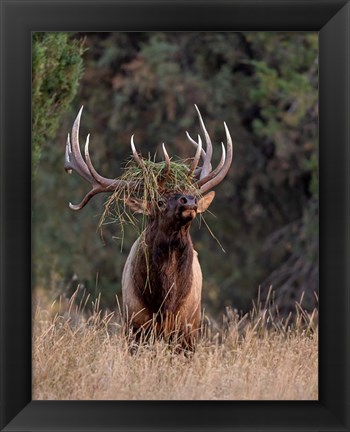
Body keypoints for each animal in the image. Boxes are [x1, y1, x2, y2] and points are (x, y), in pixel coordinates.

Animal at [64, 104, 234, 348]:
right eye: (159, 202)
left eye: (190, 193)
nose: (189, 201)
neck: (164, 303)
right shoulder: (135, 325)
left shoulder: (187, 330)